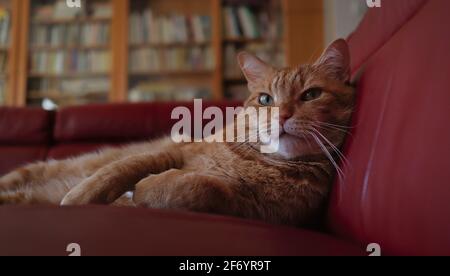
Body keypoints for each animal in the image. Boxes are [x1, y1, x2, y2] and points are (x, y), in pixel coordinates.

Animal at [0, 40, 356, 227]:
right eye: (266, 99)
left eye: (311, 95)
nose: (281, 115)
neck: (262, 163)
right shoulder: (174, 151)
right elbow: (119, 170)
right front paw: (80, 196)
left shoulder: (257, 209)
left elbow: (201, 187)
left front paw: (148, 189)